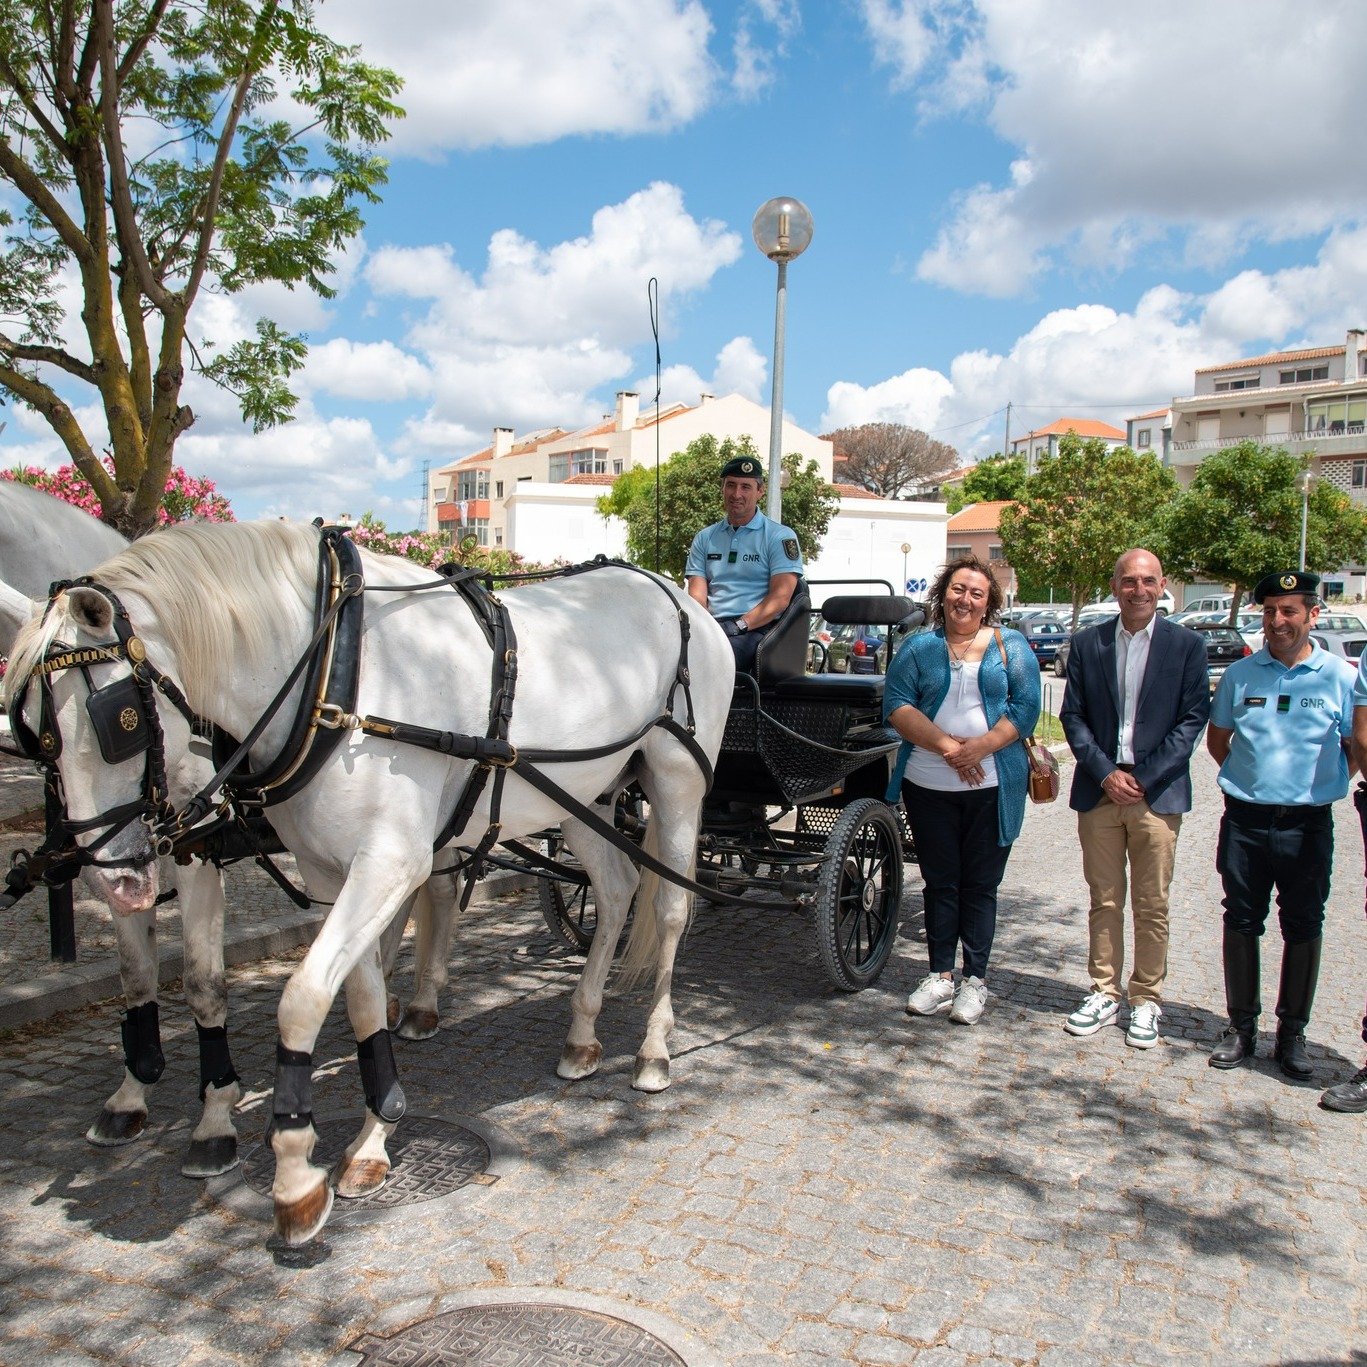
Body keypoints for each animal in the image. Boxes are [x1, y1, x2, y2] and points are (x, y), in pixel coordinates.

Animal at [5, 516, 732, 1246]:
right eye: (35, 733)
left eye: (118, 719)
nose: (110, 873)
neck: (335, 671)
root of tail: (678, 594)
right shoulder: (333, 871)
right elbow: (354, 995)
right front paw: (374, 1133)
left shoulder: (377, 860)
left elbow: (294, 996)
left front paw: (292, 1172)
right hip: (584, 797)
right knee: (612, 889)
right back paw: (580, 1034)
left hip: (675, 783)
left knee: (669, 909)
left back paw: (653, 1049)